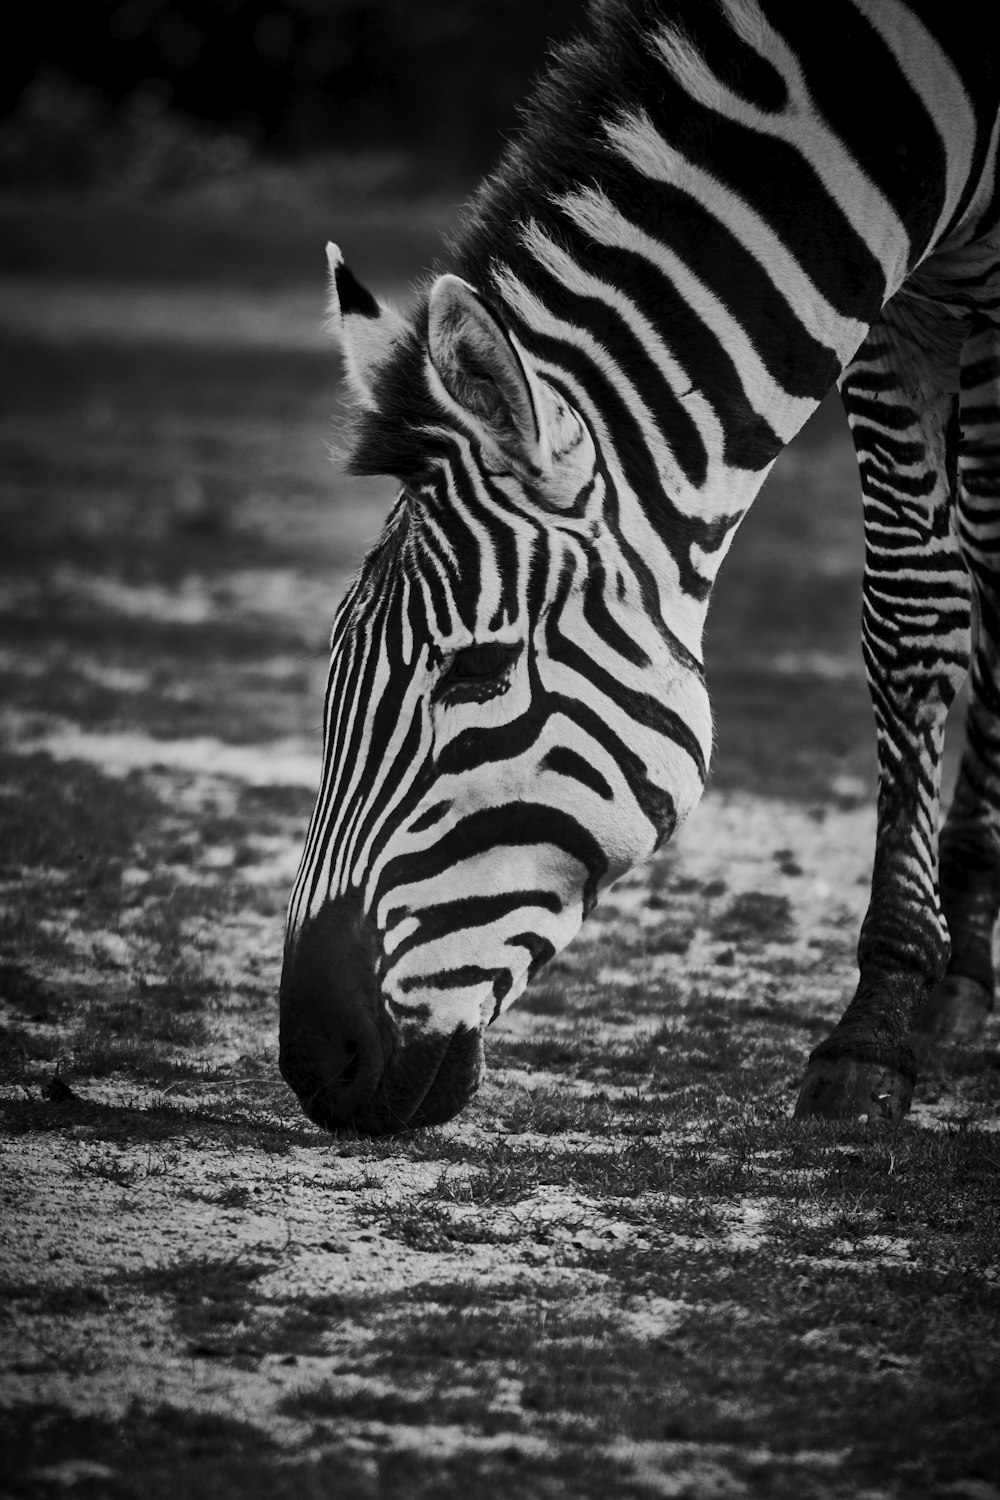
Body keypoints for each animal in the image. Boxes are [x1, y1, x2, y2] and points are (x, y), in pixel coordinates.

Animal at [277, 0, 1000, 1128]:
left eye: (478, 670)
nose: (316, 1058)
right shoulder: (896, 303)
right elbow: (911, 612)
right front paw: (892, 1009)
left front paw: (887, 1013)